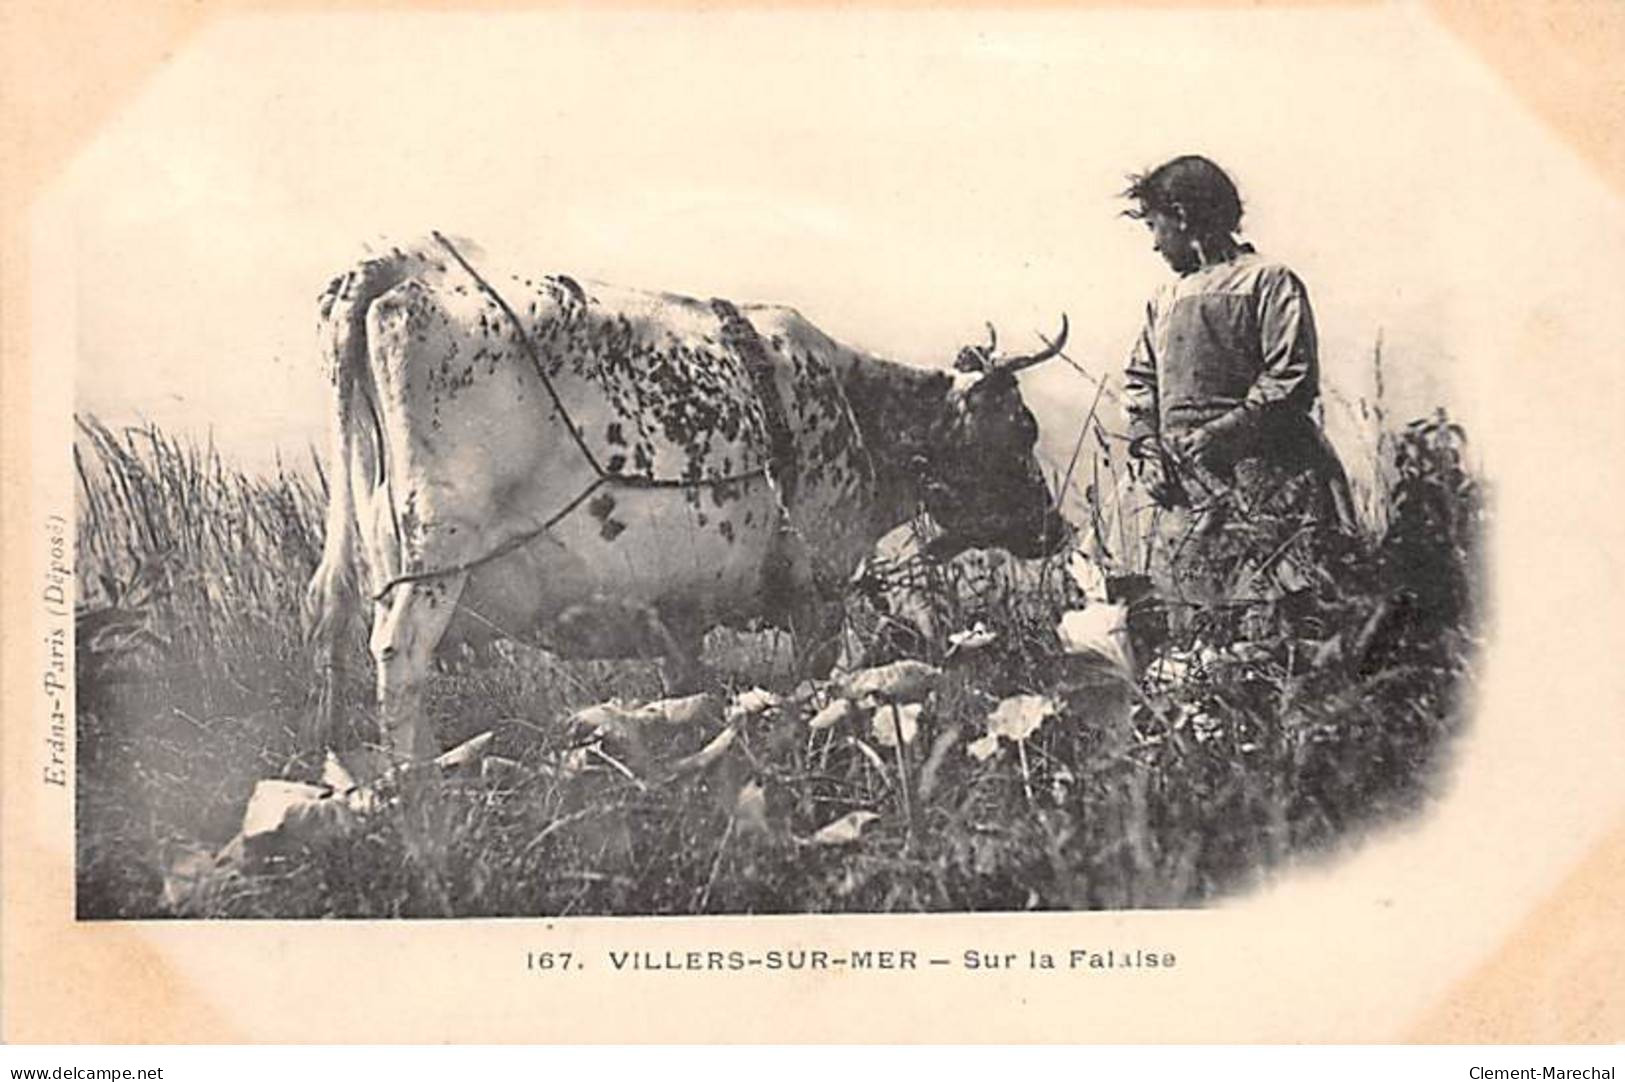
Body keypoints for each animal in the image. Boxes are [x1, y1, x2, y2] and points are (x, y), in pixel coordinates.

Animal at [303, 235, 1066, 757]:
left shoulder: (680, 613)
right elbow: (809, 689)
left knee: (335, 628)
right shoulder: (816, 591)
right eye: (1023, 428)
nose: (1053, 528)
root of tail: (403, 266)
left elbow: (687, 694)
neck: (854, 405)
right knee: (398, 655)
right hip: (436, 557)